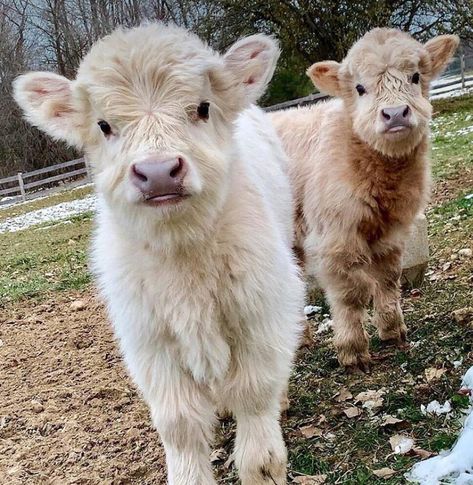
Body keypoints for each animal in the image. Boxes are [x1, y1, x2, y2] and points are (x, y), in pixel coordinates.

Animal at [14, 23, 304, 484]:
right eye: (104, 125)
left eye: (203, 107)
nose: (158, 172)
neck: (182, 254)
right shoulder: (149, 341)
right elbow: (178, 423)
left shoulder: (260, 313)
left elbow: (255, 399)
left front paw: (263, 467)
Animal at [272, 28, 460, 368]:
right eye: (360, 88)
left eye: (415, 77)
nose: (395, 114)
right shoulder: (335, 238)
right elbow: (352, 292)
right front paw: (353, 351)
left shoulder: (392, 233)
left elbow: (387, 278)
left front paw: (393, 330)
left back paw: (300, 339)